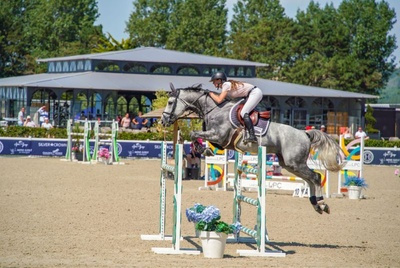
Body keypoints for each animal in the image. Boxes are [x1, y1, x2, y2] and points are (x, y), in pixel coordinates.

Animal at [162, 84, 344, 214]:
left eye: (170, 102)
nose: (163, 121)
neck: (215, 109)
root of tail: (304, 133)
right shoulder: (220, 140)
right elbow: (197, 137)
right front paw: (204, 150)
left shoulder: (219, 136)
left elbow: (194, 134)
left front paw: (204, 150)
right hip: (288, 164)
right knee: (310, 179)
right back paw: (315, 204)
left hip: (295, 163)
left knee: (315, 177)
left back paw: (321, 203)